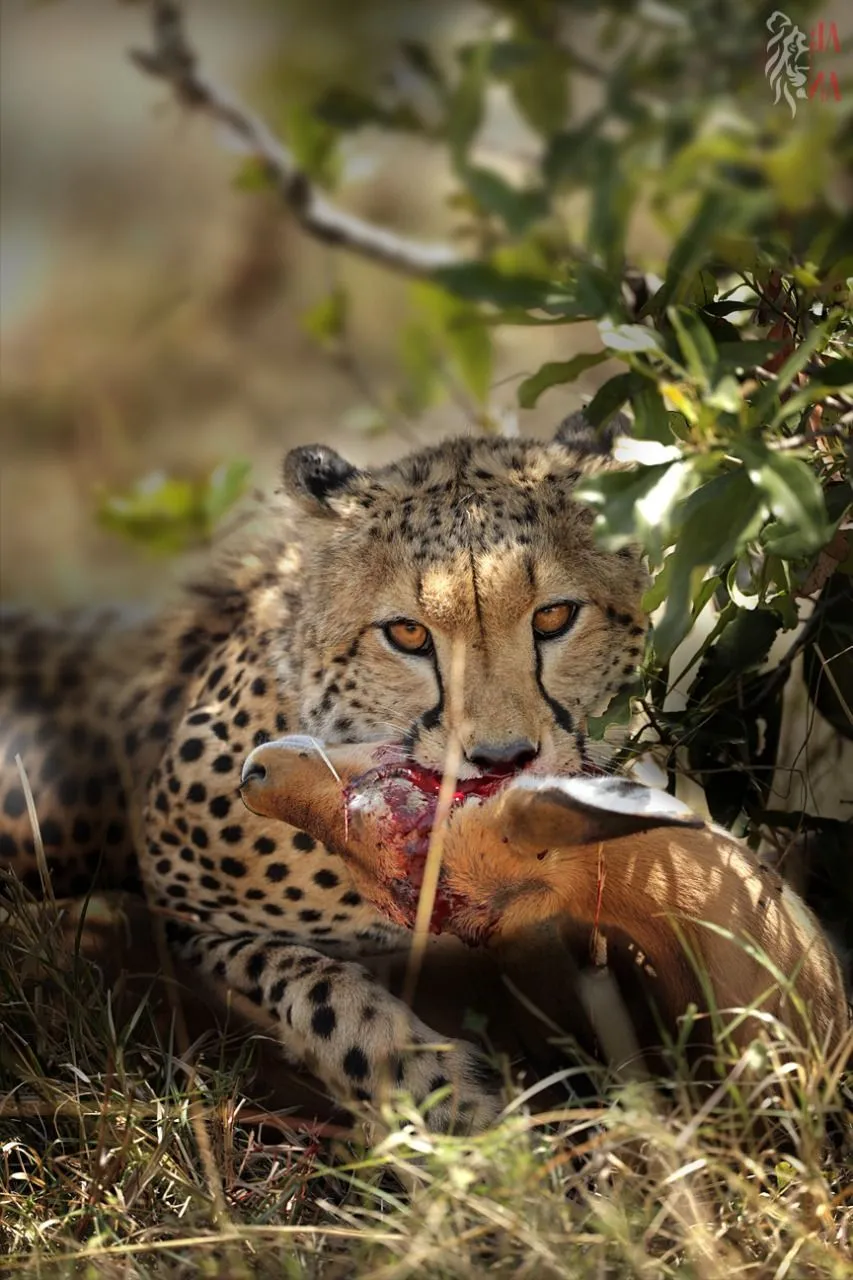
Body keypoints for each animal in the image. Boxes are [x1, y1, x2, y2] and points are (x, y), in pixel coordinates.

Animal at [0, 412, 650, 1131]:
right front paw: (450, 1102)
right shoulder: (184, 915)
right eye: (407, 634)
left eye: (554, 616)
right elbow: (319, 992)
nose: (502, 759)